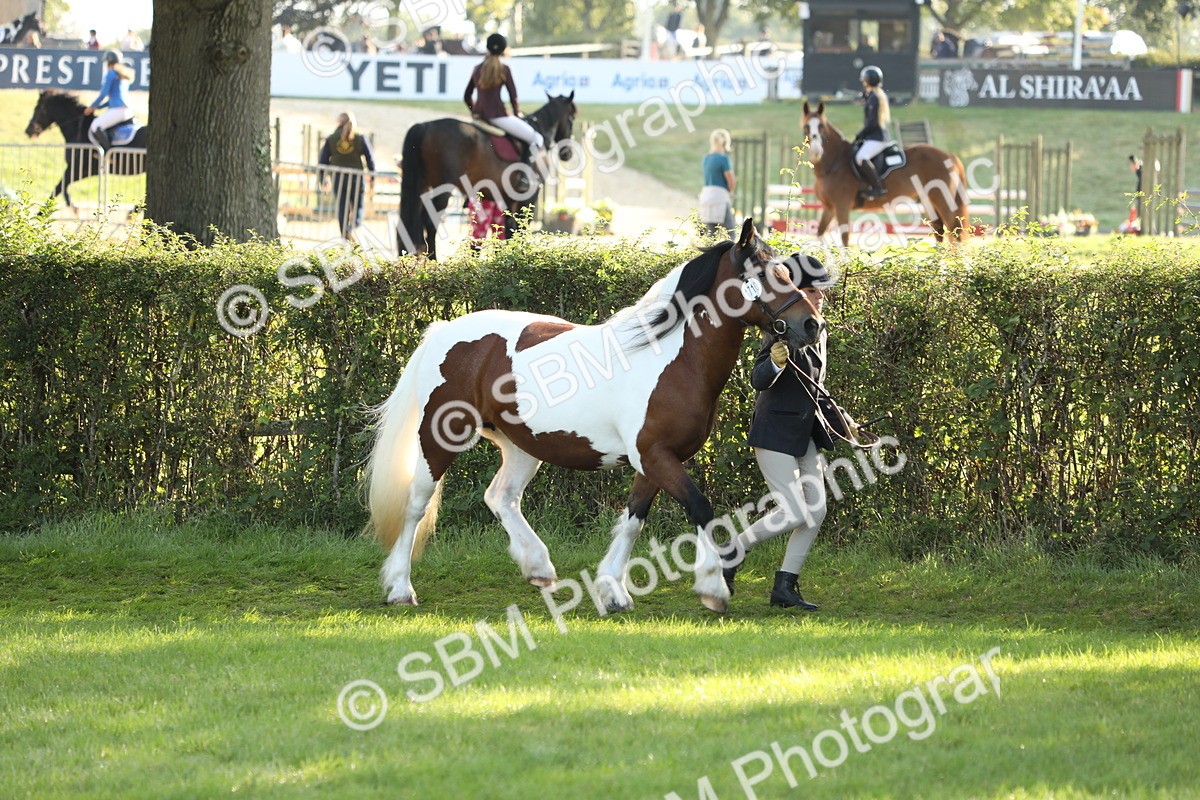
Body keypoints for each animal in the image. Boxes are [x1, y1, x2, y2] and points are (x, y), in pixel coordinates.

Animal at [366, 219, 826, 614]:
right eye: (767, 273)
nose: (812, 324)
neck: (670, 360)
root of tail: (443, 331)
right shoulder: (655, 457)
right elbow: (700, 507)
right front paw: (713, 587)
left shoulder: (653, 461)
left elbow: (633, 521)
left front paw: (613, 591)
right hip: (440, 439)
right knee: (416, 505)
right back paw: (401, 588)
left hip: (521, 445)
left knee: (501, 497)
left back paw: (539, 567)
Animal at [397, 92, 577, 259]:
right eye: (572, 117)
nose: (567, 153)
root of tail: (424, 126)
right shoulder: (528, 197)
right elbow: (520, 228)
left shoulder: (506, 199)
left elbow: (508, 230)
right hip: (443, 188)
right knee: (430, 221)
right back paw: (434, 260)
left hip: (423, 186)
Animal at [801, 100, 970, 246]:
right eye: (806, 127)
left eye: (821, 126)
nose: (816, 151)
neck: (834, 163)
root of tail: (950, 155)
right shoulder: (829, 207)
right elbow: (820, 233)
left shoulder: (841, 206)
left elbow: (844, 239)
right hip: (928, 201)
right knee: (939, 230)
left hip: (943, 200)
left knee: (955, 231)